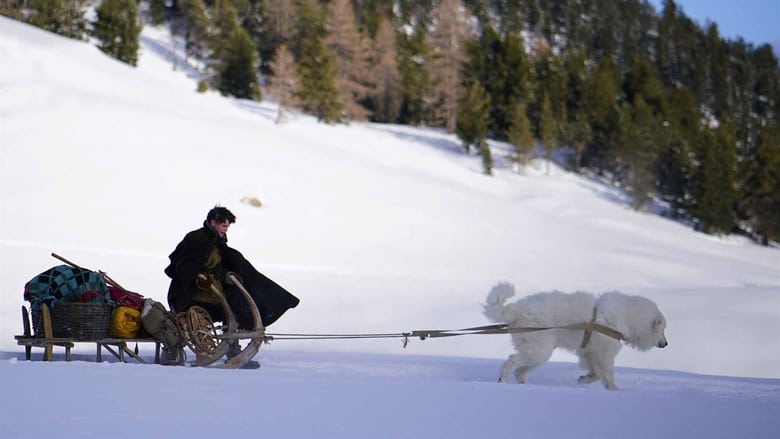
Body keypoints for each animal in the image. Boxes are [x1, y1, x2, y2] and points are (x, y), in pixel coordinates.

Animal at [484, 284, 668, 390]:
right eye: (663, 330)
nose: (666, 344)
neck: (626, 317)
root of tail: (517, 309)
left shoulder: (589, 354)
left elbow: (595, 374)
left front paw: (583, 379)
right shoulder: (604, 355)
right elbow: (607, 374)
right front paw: (614, 389)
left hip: (537, 354)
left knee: (520, 371)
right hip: (539, 351)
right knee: (511, 361)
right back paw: (503, 379)